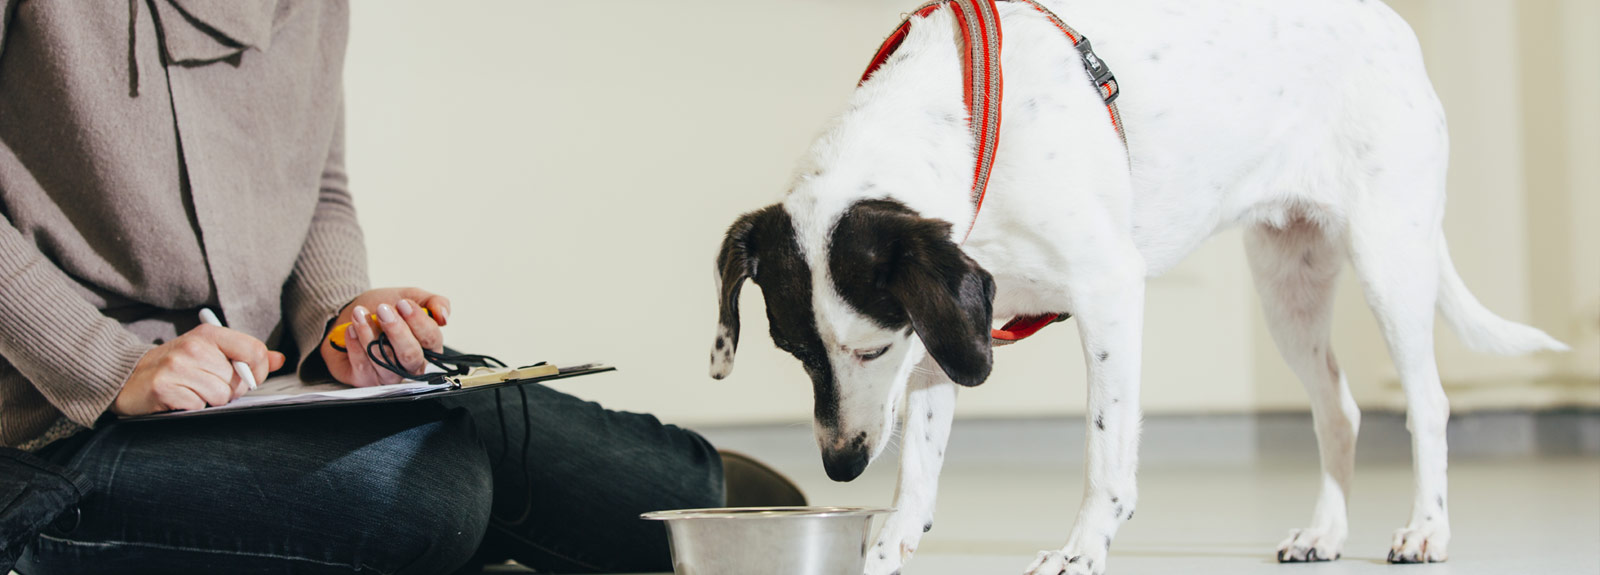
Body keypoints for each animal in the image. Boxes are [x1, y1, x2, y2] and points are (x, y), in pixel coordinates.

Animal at [707, 2, 1568, 573]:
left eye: (868, 347)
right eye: (792, 349)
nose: (840, 468)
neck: (973, 118)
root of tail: (1395, 25)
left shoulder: (1106, 293)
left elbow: (1105, 454)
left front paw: (1084, 545)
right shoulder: (948, 324)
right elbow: (919, 462)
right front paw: (888, 541)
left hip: (1392, 262)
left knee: (1429, 402)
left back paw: (1427, 528)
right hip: (1287, 289)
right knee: (1341, 411)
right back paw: (1325, 531)